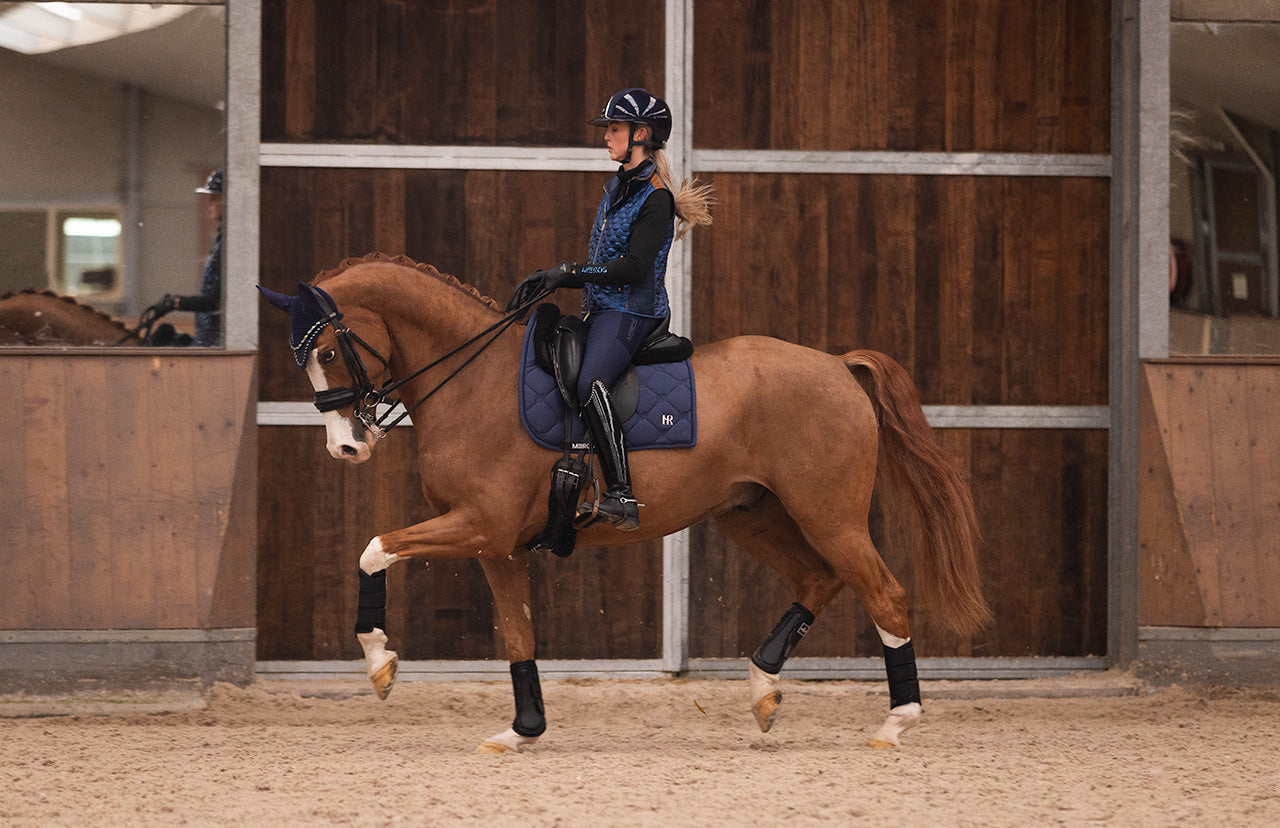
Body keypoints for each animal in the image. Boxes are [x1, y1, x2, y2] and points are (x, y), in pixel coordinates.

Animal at [259, 254, 988, 757]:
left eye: (329, 350)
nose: (347, 447)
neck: (475, 382)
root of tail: (838, 366)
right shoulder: (496, 546)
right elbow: (519, 637)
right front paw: (523, 730)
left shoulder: (478, 526)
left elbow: (374, 547)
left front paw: (380, 664)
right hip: (751, 514)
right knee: (821, 578)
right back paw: (763, 690)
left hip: (828, 516)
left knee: (885, 594)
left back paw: (895, 723)